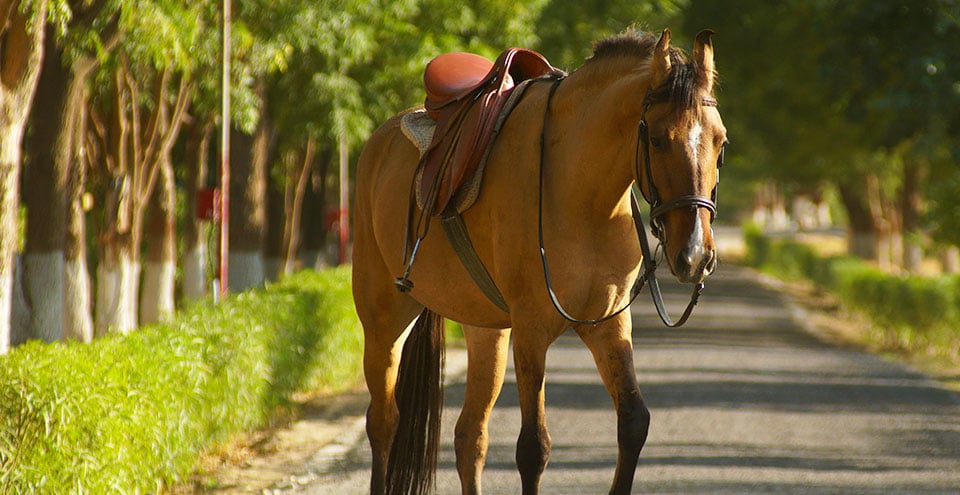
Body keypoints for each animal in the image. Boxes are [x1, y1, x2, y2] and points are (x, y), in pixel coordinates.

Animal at [352, 28, 728, 495]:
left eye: (720, 141)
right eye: (657, 139)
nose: (694, 254)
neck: (581, 193)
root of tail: (379, 141)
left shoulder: (608, 325)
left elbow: (633, 423)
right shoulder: (531, 329)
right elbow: (533, 447)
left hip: (486, 330)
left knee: (469, 436)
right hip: (383, 321)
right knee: (384, 422)